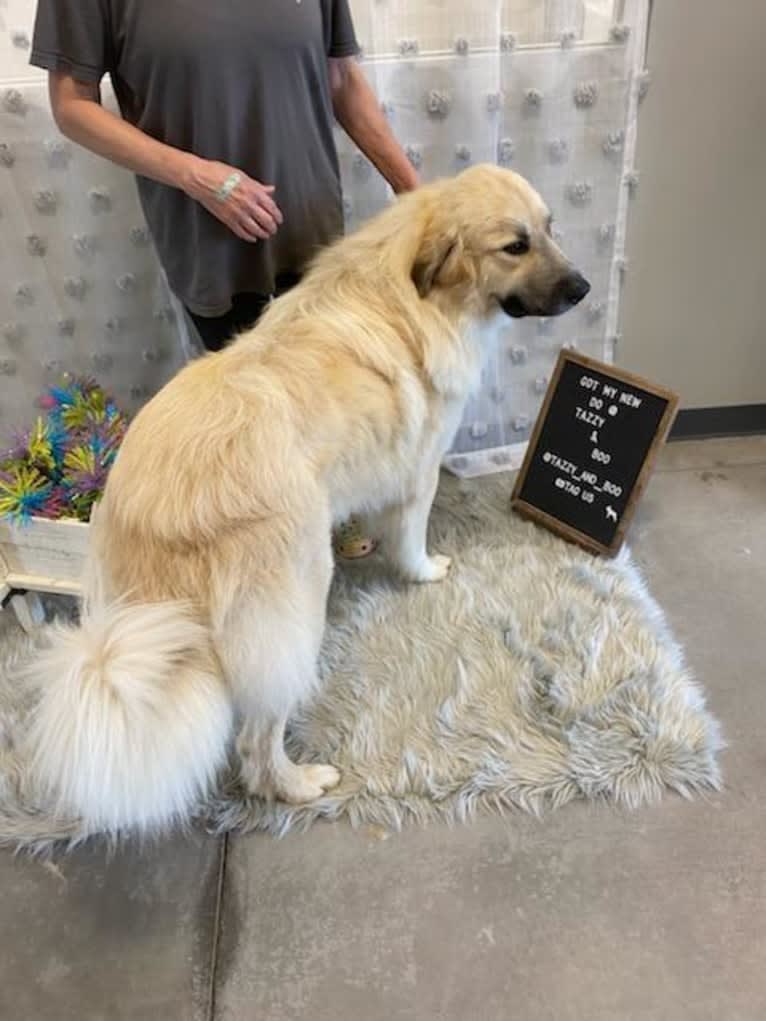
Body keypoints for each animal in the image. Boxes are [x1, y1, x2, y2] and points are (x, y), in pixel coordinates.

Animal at [22, 167, 588, 837]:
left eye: (551, 229)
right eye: (515, 246)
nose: (582, 288)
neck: (414, 294)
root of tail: (162, 506)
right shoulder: (419, 469)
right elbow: (411, 538)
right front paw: (424, 571)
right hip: (295, 599)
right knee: (256, 743)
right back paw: (299, 784)